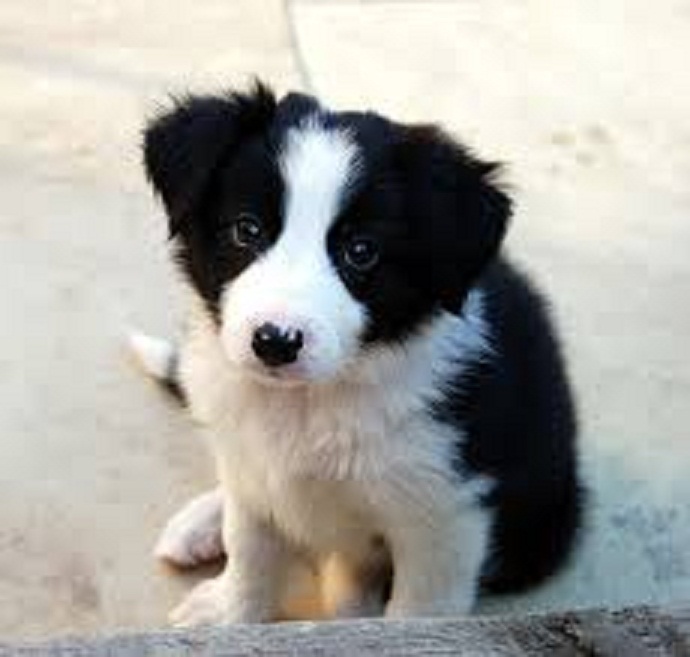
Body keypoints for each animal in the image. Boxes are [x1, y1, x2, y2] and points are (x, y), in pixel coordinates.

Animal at [130, 82, 580, 624]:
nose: (275, 341)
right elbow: (252, 549)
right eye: (246, 230)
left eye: (361, 251)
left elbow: (417, 612)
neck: (310, 403)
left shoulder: (445, 517)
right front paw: (230, 613)